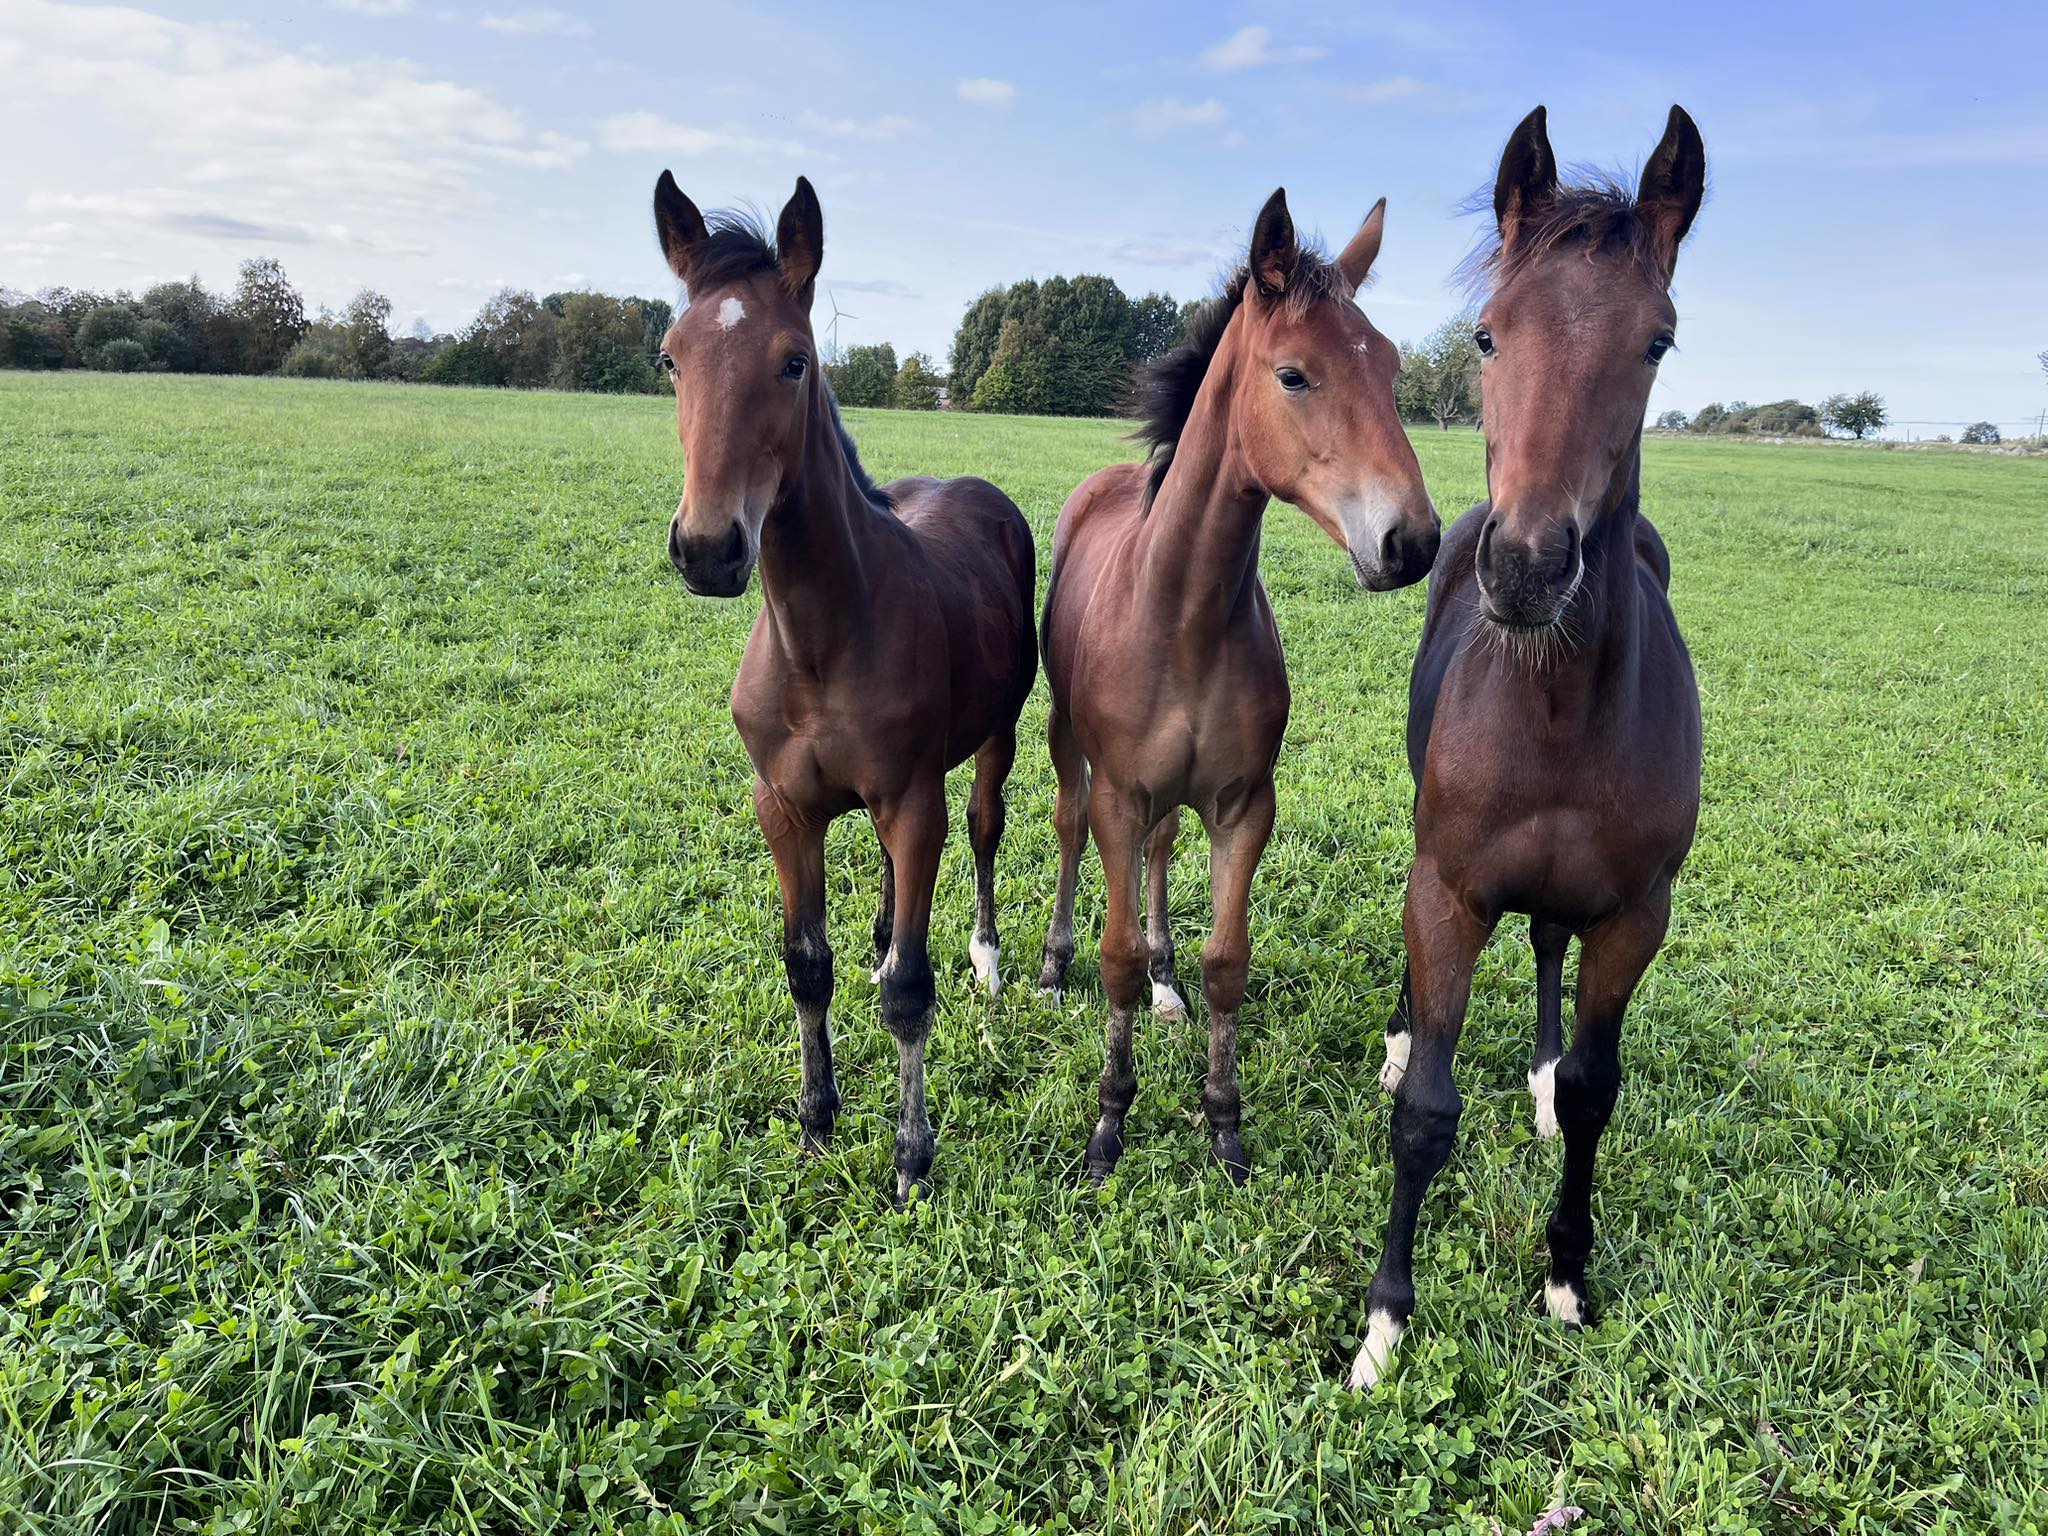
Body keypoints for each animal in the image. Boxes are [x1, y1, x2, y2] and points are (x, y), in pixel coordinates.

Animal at [651, 177, 1040, 1204]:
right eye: (670, 360)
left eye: (795, 361)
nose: (708, 548)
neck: (819, 643)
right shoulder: (782, 807)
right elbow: (804, 966)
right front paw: (817, 1123)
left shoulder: (913, 801)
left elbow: (912, 991)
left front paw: (910, 1159)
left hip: (995, 738)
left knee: (982, 827)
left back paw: (986, 960)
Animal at [1040, 189, 1441, 1179]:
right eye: (1294, 376)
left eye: (1393, 367)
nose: (1411, 541)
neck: (1183, 614)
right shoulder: (1120, 793)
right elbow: (1111, 951)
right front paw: (1109, 1125)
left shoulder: (1244, 804)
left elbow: (1229, 961)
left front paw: (1223, 1122)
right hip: (1068, 740)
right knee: (1068, 828)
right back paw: (1052, 967)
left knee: (1161, 851)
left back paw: (1166, 981)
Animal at [1351, 102, 1703, 1392]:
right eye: (1488, 335)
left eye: (1656, 341)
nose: (1527, 565)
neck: (1551, 707)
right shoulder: (1448, 891)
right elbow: (1424, 1116)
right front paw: (1384, 1322)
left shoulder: (1635, 912)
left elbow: (1600, 1092)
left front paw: (1564, 1274)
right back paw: (1400, 1036)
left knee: (1549, 947)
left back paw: (1543, 1077)